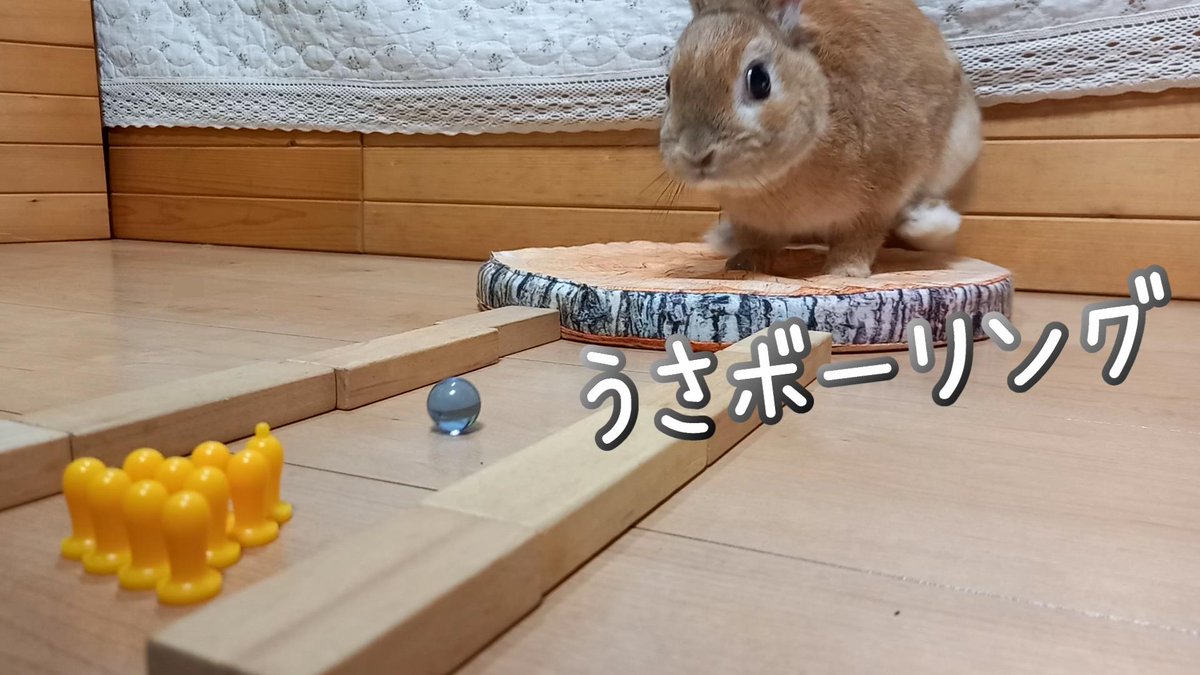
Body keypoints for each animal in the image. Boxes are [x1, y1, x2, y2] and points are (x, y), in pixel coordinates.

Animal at [659, 0, 981, 278]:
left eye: (759, 80)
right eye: (669, 85)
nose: (696, 153)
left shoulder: (878, 201)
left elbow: (860, 238)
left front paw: (844, 272)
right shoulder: (753, 223)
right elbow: (757, 244)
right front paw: (742, 265)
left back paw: (925, 221)